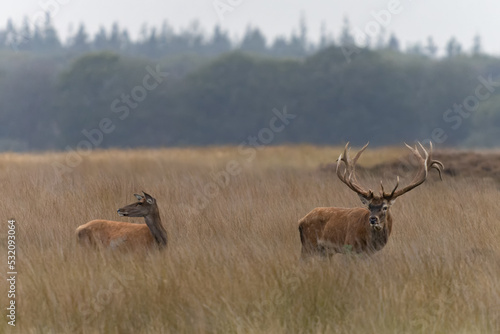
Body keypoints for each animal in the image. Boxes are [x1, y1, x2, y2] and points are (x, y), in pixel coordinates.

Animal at [296, 142, 442, 258]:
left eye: (385, 207)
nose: (372, 219)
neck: (369, 242)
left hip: (325, 251)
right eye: (369, 206)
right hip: (308, 245)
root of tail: (301, 221)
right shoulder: (350, 248)